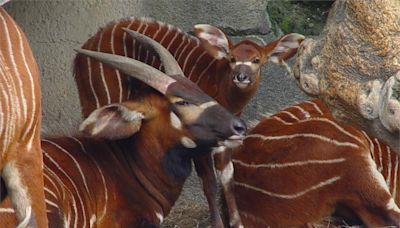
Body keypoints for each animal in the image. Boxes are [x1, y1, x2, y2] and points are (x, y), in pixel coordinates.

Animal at [72, 17, 304, 226]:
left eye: (257, 60)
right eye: (231, 58)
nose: (241, 77)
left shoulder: (224, 140)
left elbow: (228, 178)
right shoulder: (202, 144)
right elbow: (210, 182)